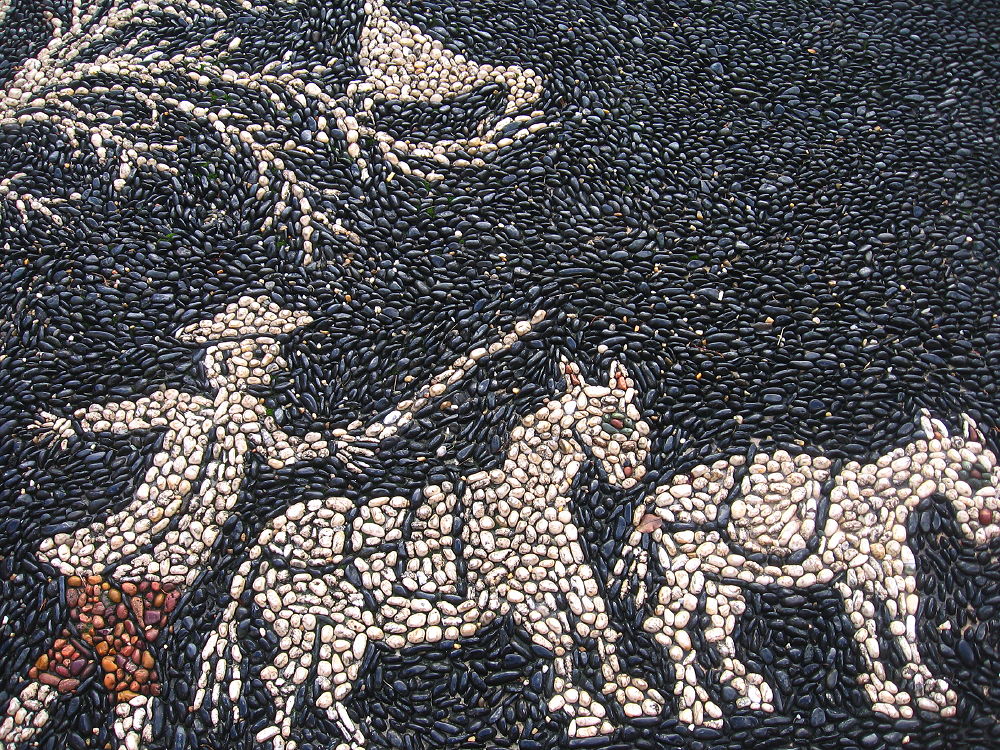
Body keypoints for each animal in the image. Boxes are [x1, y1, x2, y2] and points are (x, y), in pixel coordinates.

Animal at [194, 357, 664, 749]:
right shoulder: (521, 592)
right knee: (282, 683)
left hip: (339, 630)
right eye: (613, 421)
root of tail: (263, 541)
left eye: (638, 420)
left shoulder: (568, 574)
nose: (634, 473)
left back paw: (355, 740)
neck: (528, 495)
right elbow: (563, 642)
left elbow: (598, 627)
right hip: (300, 624)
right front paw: (581, 708)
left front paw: (632, 693)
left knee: (324, 691)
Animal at [623, 411, 1000, 727]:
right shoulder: (855, 576)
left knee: (717, 627)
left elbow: (901, 628)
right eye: (974, 473)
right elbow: (870, 634)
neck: (880, 498)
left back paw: (748, 691)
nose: (990, 528)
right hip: (685, 567)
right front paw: (887, 695)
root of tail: (652, 500)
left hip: (720, 574)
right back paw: (699, 707)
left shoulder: (890, 573)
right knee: (670, 628)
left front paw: (929, 690)